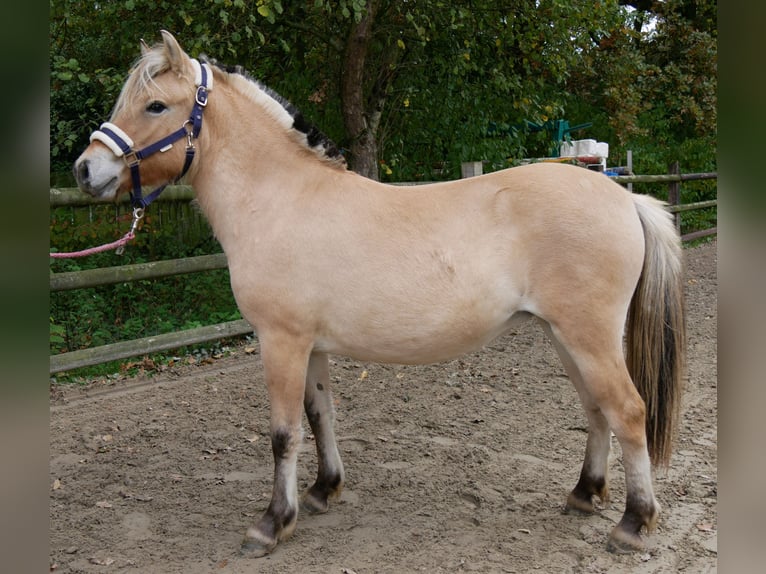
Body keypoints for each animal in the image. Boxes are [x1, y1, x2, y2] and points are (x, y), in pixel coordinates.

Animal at [73, 31, 685, 557]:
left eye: (156, 106)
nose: (85, 169)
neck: (280, 198)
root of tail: (626, 199)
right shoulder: (311, 346)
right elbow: (320, 417)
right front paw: (323, 491)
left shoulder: (281, 341)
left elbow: (283, 434)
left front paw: (272, 523)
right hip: (564, 336)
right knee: (596, 409)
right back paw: (585, 494)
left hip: (588, 336)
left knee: (628, 410)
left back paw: (633, 524)